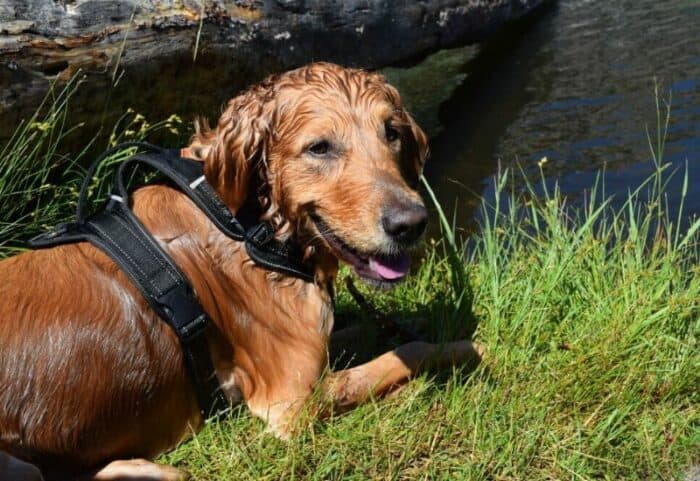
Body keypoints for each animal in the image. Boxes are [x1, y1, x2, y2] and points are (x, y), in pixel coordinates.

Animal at [0, 62, 482, 478]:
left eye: (391, 133)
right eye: (319, 147)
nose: (411, 223)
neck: (250, 224)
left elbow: (361, 331)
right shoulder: (291, 404)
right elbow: (401, 357)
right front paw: (458, 349)